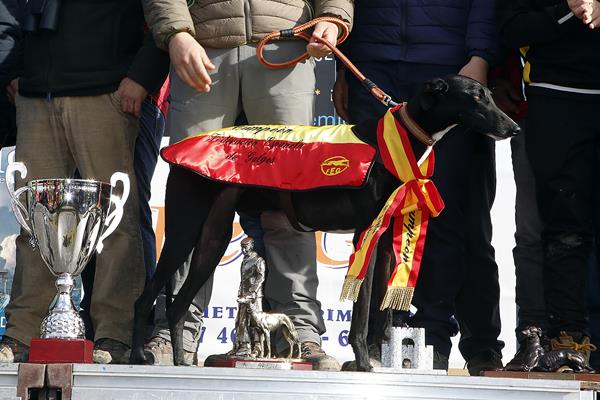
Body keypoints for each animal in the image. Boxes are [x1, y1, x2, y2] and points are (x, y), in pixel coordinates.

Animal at [130, 74, 520, 368]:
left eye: (489, 95)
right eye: (476, 97)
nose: (514, 128)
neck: (393, 143)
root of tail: (178, 147)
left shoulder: (385, 244)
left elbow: (380, 313)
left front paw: (380, 359)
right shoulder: (366, 236)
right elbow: (361, 312)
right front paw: (362, 362)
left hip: (213, 237)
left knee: (177, 305)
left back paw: (180, 363)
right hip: (184, 228)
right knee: (147, 296)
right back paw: (137, 357)